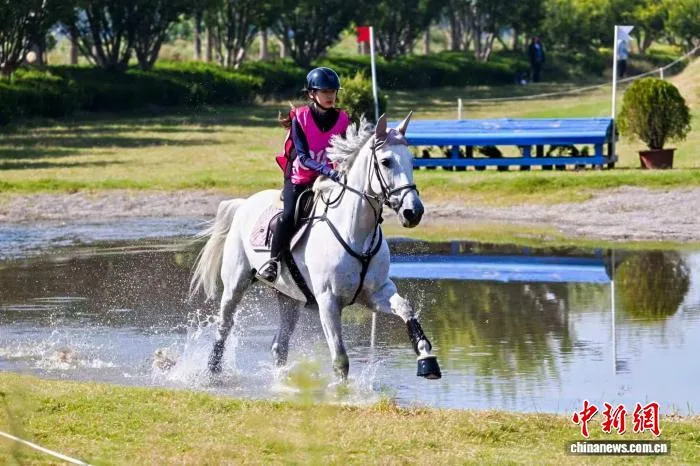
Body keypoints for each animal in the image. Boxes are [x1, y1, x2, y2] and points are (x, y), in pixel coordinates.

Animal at [189, 112, 441, 381]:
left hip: (289, 297)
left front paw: (427, 360)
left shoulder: (376, 293)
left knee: (279, 344)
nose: (413, 212)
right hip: (236, 283)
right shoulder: (328, 302)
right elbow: (340, 359)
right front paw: (341, 390)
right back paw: (212, 371)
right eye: (386, 162)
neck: (356, 234)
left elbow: (406, 308)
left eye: (412, 160)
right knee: (224, 326)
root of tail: (244, 203)